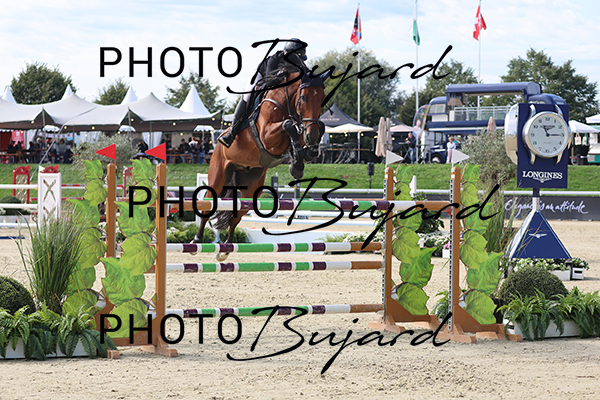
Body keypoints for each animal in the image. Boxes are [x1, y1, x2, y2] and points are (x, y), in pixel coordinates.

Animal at [194, 70, 327, 260]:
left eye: (322, 98)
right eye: (304, 98)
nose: (312, 136)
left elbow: (311, 131)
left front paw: (300, 161)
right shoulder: (267, 135)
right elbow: (288, 125)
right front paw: (297, 162)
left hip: (250, 187)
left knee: (236, 216)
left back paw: (225, 249)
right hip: (217, 177)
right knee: (207, 206)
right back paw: (197, 240)